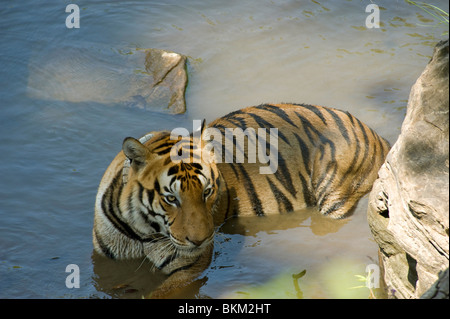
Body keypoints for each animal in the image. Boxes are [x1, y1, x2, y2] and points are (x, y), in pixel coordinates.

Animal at [92, 104, 390, 298]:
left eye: (207, 192)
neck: (143, 233)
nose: (201, 240)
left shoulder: (190, 267)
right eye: (170, 198)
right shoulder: (104, 262)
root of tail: (375, 133)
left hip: (334, 199)